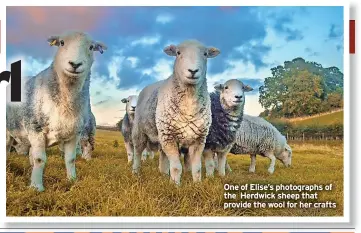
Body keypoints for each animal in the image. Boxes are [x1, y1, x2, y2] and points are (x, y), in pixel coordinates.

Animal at [5, 31, 106, 191]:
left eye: (91, 47)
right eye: (62, 43)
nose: (75, 64)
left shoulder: (74, 134)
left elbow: (70, 159)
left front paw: (72, 180)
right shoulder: (35, 128)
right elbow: (40, 159)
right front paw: (36, 186)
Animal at [132, 40, 219, 186]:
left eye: (205, 54)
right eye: (178, 53)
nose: (193, 71)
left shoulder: (199, 139)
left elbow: (197, 167)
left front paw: (197, 185)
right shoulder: (170, 136)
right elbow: (177, 167)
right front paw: (175, 186)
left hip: (162, 135)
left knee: (162, 155)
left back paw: (163, 174)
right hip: (141, 131)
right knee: (137, 151)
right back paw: (135, 172)